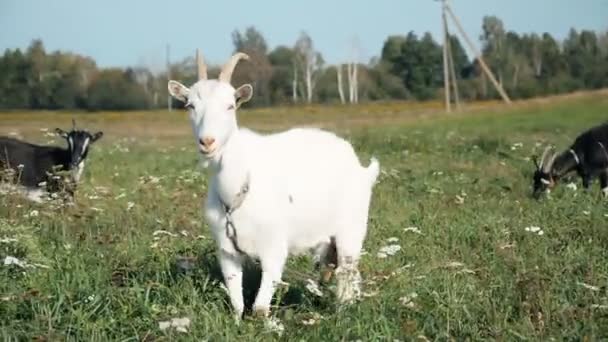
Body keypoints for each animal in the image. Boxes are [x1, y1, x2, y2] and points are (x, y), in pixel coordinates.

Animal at [167, 52, 380, 320]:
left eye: (230, 105)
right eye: (190, 106)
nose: (207, 142)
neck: (237, 188)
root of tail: (360, 167)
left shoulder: (274, 246)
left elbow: (260, 307)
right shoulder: (226, 250)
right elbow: (236, 302)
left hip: (352, 228)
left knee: (348, 269)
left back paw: (344, 310)